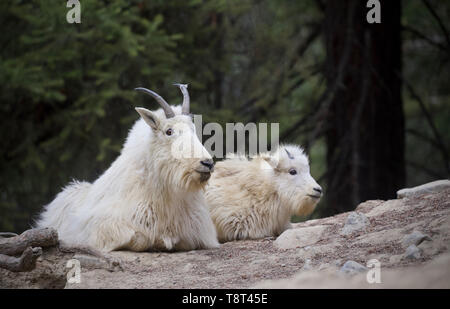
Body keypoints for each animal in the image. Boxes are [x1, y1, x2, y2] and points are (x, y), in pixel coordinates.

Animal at [36, 83, 219, 250]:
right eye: (169, 131)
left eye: (193, 129)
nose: (207, 163)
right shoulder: (106, 227)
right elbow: (139, 238)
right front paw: (160, 242)